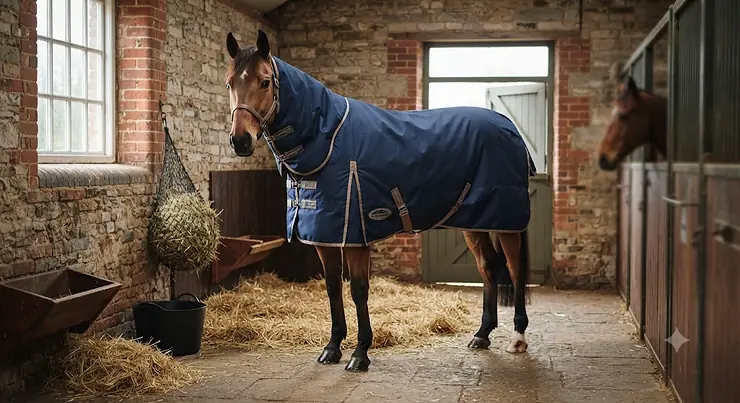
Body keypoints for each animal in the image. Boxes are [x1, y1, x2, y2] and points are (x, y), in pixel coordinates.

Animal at [223, 29, 536, 372]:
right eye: (229, 83)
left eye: (265, 81)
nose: (240, 141)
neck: (326, 138)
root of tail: (510, 128)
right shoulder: (325, 236)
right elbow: (332, 287)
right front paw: (332, 348)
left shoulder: (355, 235)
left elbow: (359, 290)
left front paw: (360, 354)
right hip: (475, 222)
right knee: (488, 267)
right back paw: (482, 334)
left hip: (506, 223)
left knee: (515, 270)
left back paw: (518, 337)